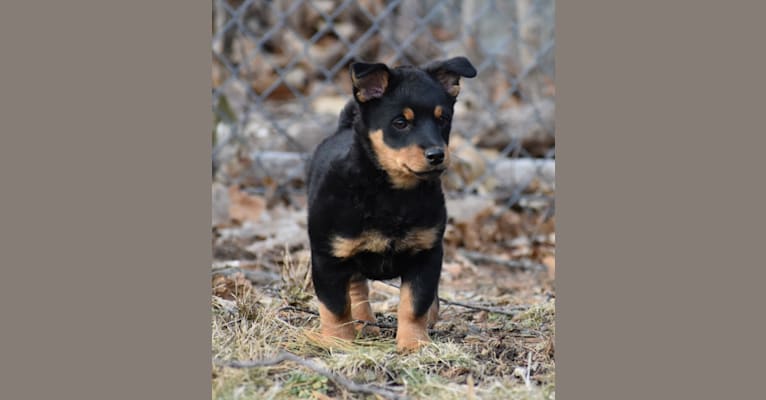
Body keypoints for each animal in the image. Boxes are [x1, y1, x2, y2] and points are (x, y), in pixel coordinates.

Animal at [308, 57, 476, 354]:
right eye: (400, 122)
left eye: (443, 119)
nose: (437, 155)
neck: (392, 194)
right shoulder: (328, 256)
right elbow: (335, 306)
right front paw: (339, 342)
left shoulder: (427, 254)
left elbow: (414, 304)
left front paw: (414, 344)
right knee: (357, 289)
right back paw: (364, 324)